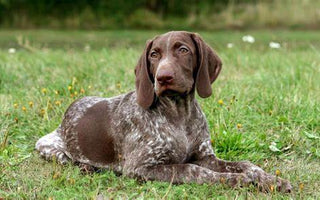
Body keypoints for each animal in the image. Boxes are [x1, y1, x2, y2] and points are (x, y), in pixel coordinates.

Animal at [35, 31, 292, 192]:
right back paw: (86, 166)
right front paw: (237, 180)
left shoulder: (205, 156)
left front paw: (271, 180)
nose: (163, 77)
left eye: (183, 50)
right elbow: (192, 170)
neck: (179, 114)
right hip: (46, 146)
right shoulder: (140, 167)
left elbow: (247, 164)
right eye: (154, 54)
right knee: (67, 159)